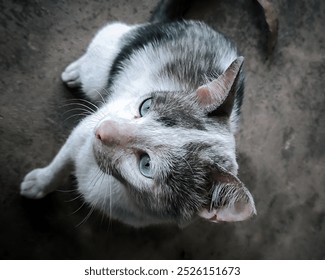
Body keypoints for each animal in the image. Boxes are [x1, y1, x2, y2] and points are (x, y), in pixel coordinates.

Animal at [19, 8, 256, 228]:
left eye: (146, 165)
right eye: (146, 106)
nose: (102, 130)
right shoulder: (90, 124)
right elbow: (62, 160)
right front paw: (40, 182)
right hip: (107, 61)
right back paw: (76, 72)